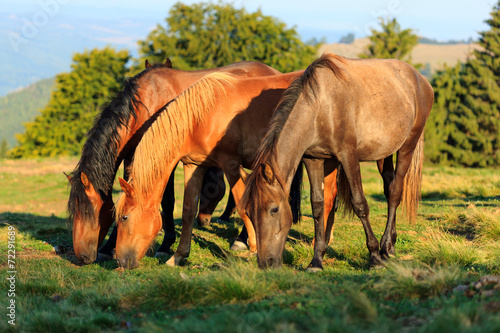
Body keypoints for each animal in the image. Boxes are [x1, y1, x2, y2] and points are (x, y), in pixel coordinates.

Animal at [65, 59, 282, 262]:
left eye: (87, 212)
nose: (82, 256)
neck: (148, 101)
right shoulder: (132, 158)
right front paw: (109, 246)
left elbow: (167, 202)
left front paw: (165, 245)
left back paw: (241, 240)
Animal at [114, 71, 316, 268]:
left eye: (124, 217)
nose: (121, 261)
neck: (202, 115)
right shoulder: (194, 166)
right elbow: (188, 211)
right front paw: (178, 256)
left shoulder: (231, 165)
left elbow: (242, 206)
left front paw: (253, 247)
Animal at [241, 52, 434, 270]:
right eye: (249, 212)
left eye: (273, 209)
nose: (266, 263)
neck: (320, 107)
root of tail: (420, 79)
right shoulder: (313, 159)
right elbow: (318, 206)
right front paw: (316, 260)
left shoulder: (348, 156)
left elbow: (360, 204)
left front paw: (374, 256)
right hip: (384, 154)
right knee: (388, 186)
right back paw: (391, 246)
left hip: (407, 146)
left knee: (394, 192)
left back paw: (384, 248)